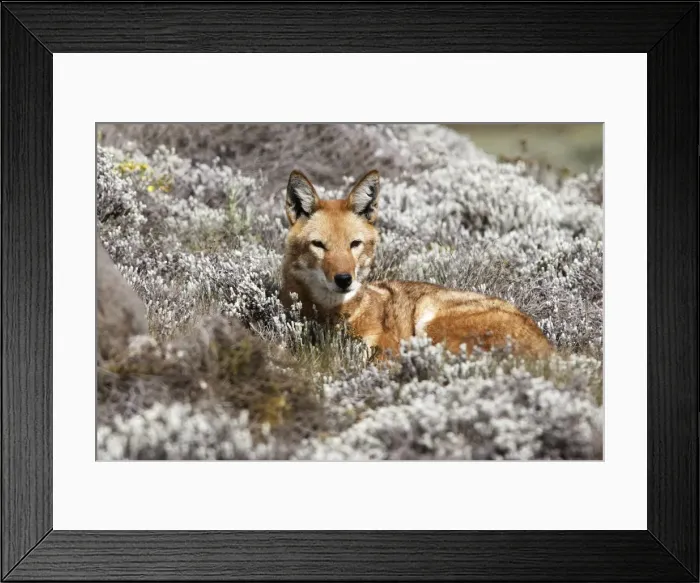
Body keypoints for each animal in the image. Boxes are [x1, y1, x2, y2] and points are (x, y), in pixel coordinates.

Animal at [279, 169, 553, 360]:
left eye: (354, 244)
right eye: (319, 245)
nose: (345, 279)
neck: (333, 317)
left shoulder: (387, 347)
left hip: (430, 320)